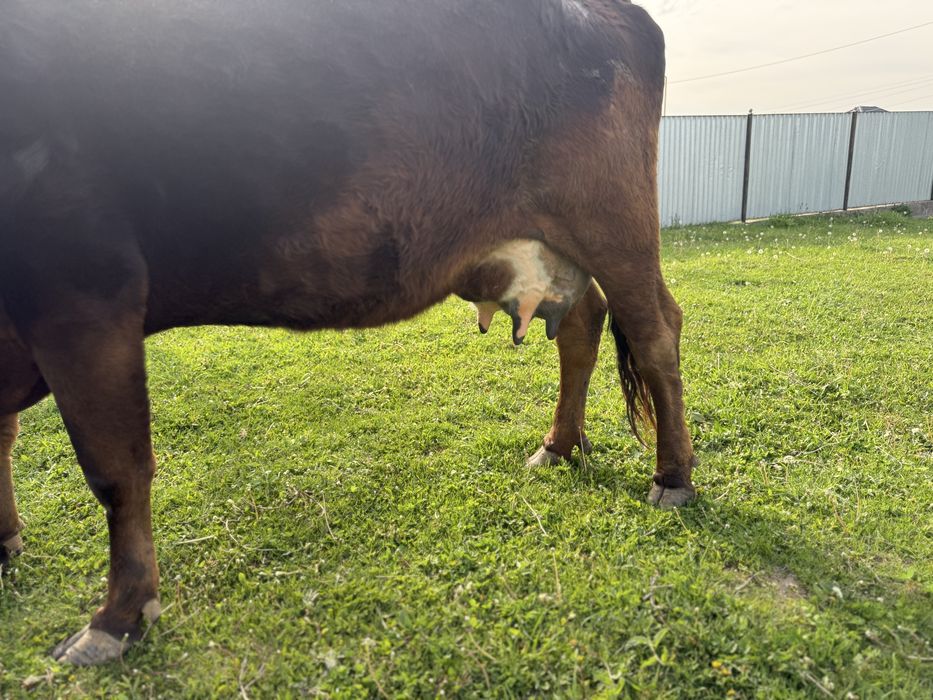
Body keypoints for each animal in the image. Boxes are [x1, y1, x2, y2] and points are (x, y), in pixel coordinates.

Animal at [0, 0, 697, 665]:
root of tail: (611, 10)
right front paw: (7, 540)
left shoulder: (84, 291)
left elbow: (116, 470)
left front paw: (117, 617)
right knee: (584, 323)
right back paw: (558, 445)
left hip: (614, 222)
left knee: (656, 329)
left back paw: (673, 478)